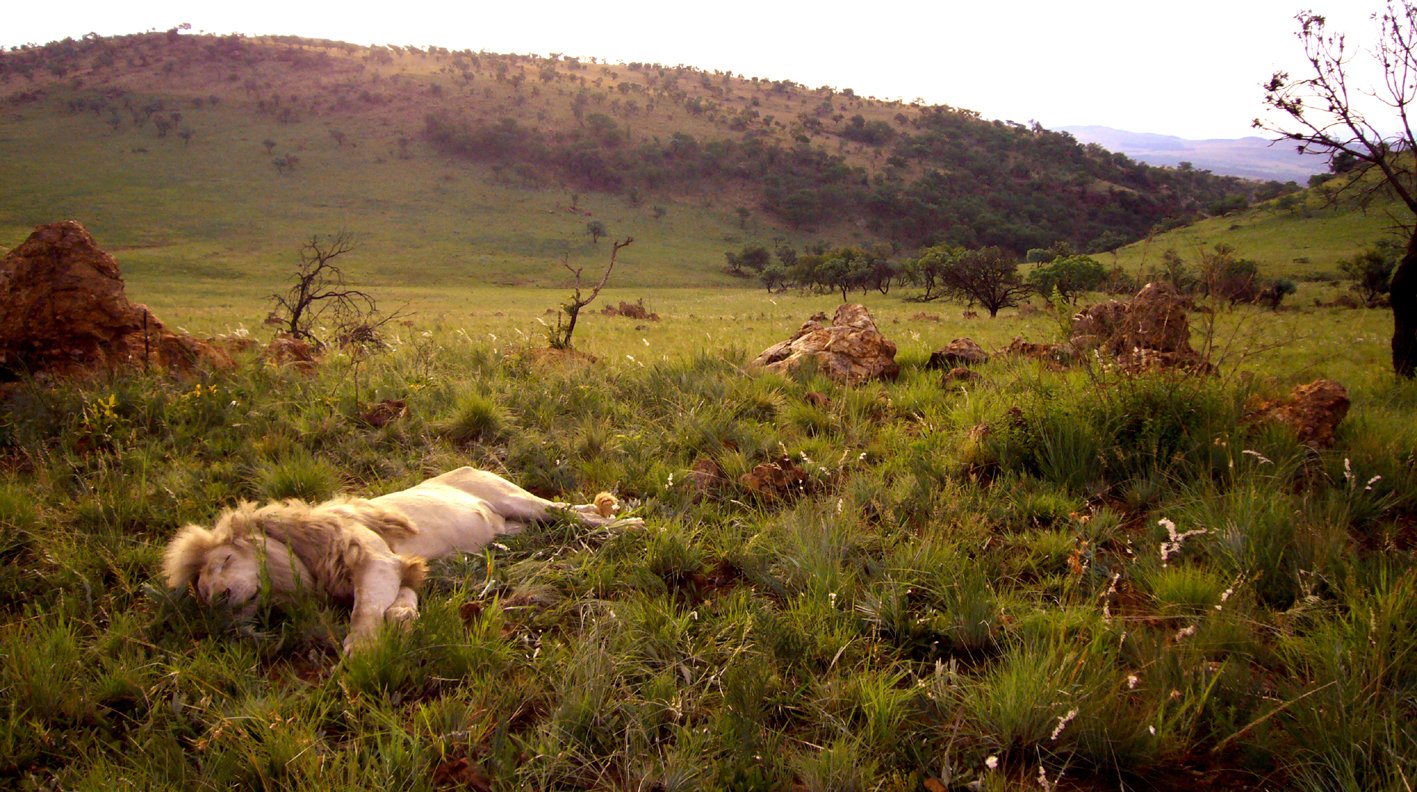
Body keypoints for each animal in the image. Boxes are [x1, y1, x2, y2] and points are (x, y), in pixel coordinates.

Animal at [162, 466, 639, 653]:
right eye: (201, 590)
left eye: (225, 559)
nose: (219, 596)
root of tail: (473, 467)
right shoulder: (402, 569)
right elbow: (397, 602)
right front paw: (404, 619)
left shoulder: (376, 560)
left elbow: (364, 612)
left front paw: (362, 654)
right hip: (516, 525)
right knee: (567, 516)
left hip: (514, 499)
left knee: (569, 514)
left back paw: (630, 526)